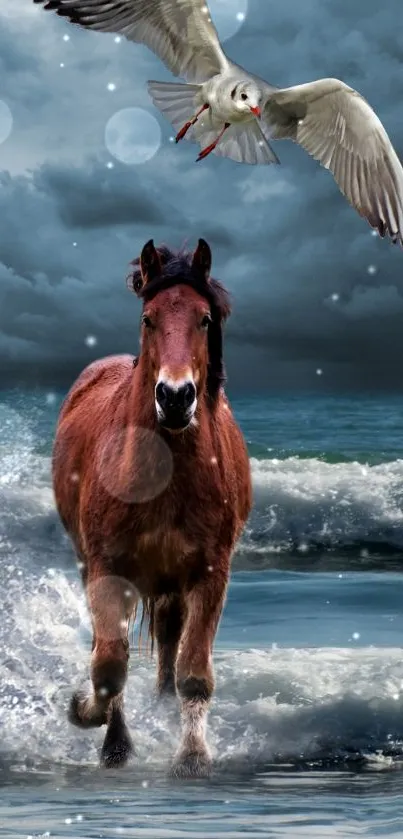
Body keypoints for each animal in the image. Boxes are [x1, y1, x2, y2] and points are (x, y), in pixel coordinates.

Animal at [51, 238, 251, 780]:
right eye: (148, 318)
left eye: (204, 318)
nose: (176, 397)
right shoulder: (107, 570)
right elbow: (108, 665)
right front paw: (91, 721)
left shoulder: (210, 574)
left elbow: (194, 671)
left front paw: (192, 756)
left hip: (172, 585)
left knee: (168, 646)